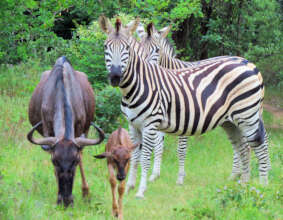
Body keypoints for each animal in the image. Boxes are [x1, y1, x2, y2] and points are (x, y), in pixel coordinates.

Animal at [27, 55, 105, 207]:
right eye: (55, 161)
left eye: (74, 161)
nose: (66, 200)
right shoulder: (48, 130)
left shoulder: (80, 129)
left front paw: (86, 193)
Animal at [99, 16, 270, 199]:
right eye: (106, 47)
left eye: (127, 48)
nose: (115, 76)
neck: (135, 87)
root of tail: (247, 63)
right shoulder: (134, 125)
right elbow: (136, 155)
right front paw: (131, 186)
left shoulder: (157, 123)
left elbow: (151, 156)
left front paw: (143, 190)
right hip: (231, 122)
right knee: (242, 148)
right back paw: (242, 183)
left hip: (248, 116)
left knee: (260, 147)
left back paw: (262, 187)